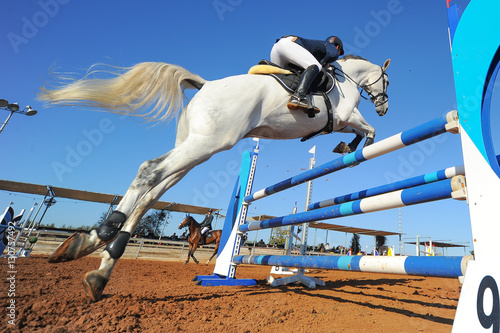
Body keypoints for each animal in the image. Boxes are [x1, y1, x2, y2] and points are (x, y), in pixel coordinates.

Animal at [39, 53, 390, 298]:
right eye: (386, 82)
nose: (384, 106)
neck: (345, 80)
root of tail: (206, 85)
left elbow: (365, 130)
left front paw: (347, 147)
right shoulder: (345, 116)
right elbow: (368, 130)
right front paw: (351, 148)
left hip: (196, 149)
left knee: (151, 194)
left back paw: (96, 263)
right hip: (208, 143)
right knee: (148, 170)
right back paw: (100, 238)